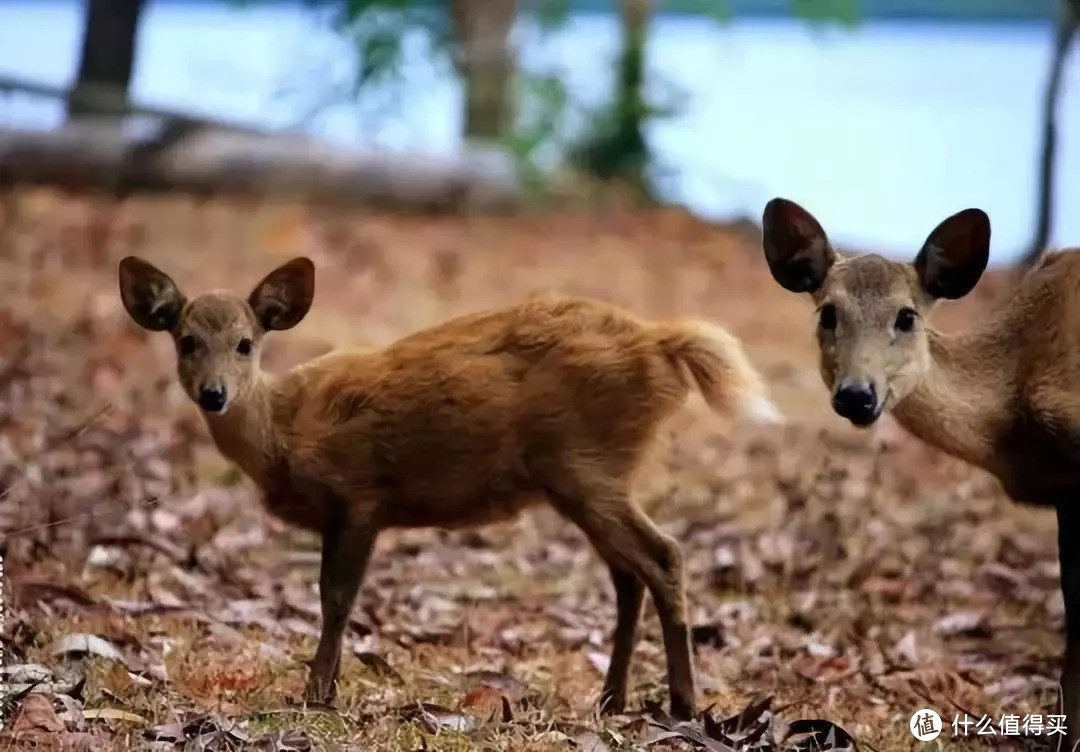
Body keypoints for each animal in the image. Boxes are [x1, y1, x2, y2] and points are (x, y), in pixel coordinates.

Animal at [116, 253, 777, 721]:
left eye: (245, 344)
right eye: (186, 340)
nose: (214, 395)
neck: (286, 428)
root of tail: (663, 344)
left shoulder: (360, 494)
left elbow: (337, 598)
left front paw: (317, 694)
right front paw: (325, 687)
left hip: (587, 464)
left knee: (663, 556)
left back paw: (683, 705)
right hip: (588, 478)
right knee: (627, 574)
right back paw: (611, 699)